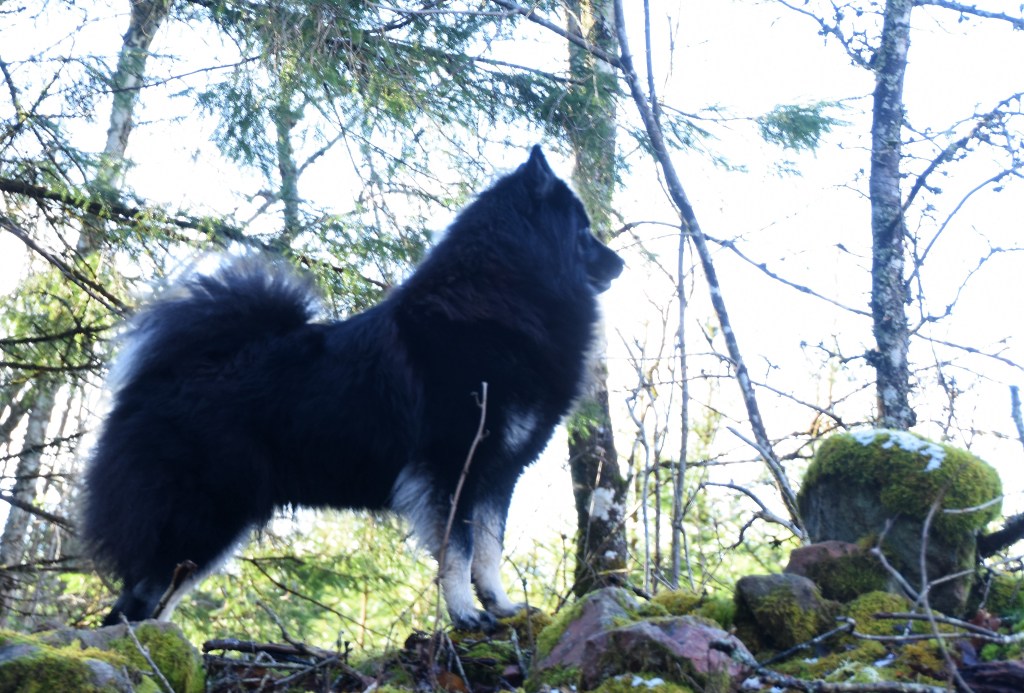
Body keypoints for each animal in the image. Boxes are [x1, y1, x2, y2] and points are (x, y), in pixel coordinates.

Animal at [82, 146, 624, 631]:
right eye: (583, 231)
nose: (619, 264)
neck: (501, 300)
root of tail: (158, 378)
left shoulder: (497, 473)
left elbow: (488, 550)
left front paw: (502, 606)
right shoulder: (452, 466)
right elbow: (457, 552)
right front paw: (467, 616)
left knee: (159, 598)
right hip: (202, 515)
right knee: (136, 600)